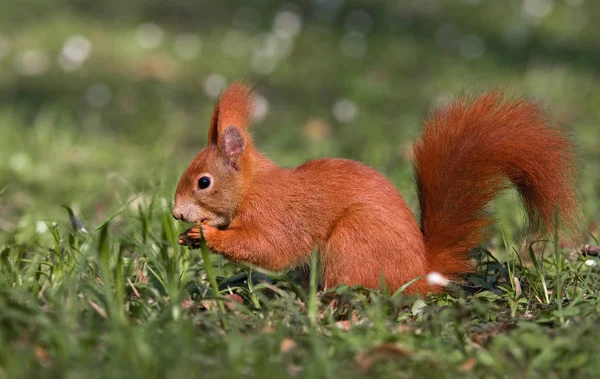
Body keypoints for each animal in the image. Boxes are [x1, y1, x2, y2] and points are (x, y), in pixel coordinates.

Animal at [171, 81, 580, 296]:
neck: (252, 188)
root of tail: (421, 274)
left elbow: (269, 248)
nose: (175, 213)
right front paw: (189, 236)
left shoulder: (276, 214)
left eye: (203, 182)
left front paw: (206, 235)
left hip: (354, 239)